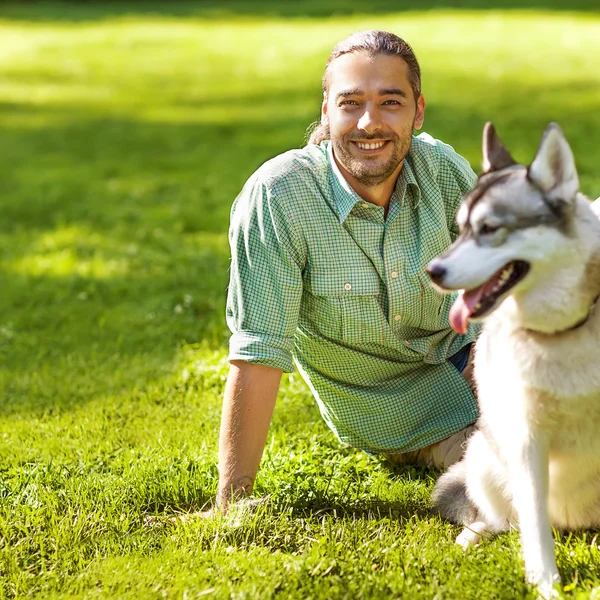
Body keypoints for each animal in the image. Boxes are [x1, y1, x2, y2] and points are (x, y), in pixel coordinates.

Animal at [424, 124, 600, 596]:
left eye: (489, 228)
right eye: (460, 230)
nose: (432, 272)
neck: (561, 333)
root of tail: (572, 523)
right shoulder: (526, 441)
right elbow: (534, 531)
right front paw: (546, 585)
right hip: (483, 453)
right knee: (508, 520)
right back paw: (475, 534)